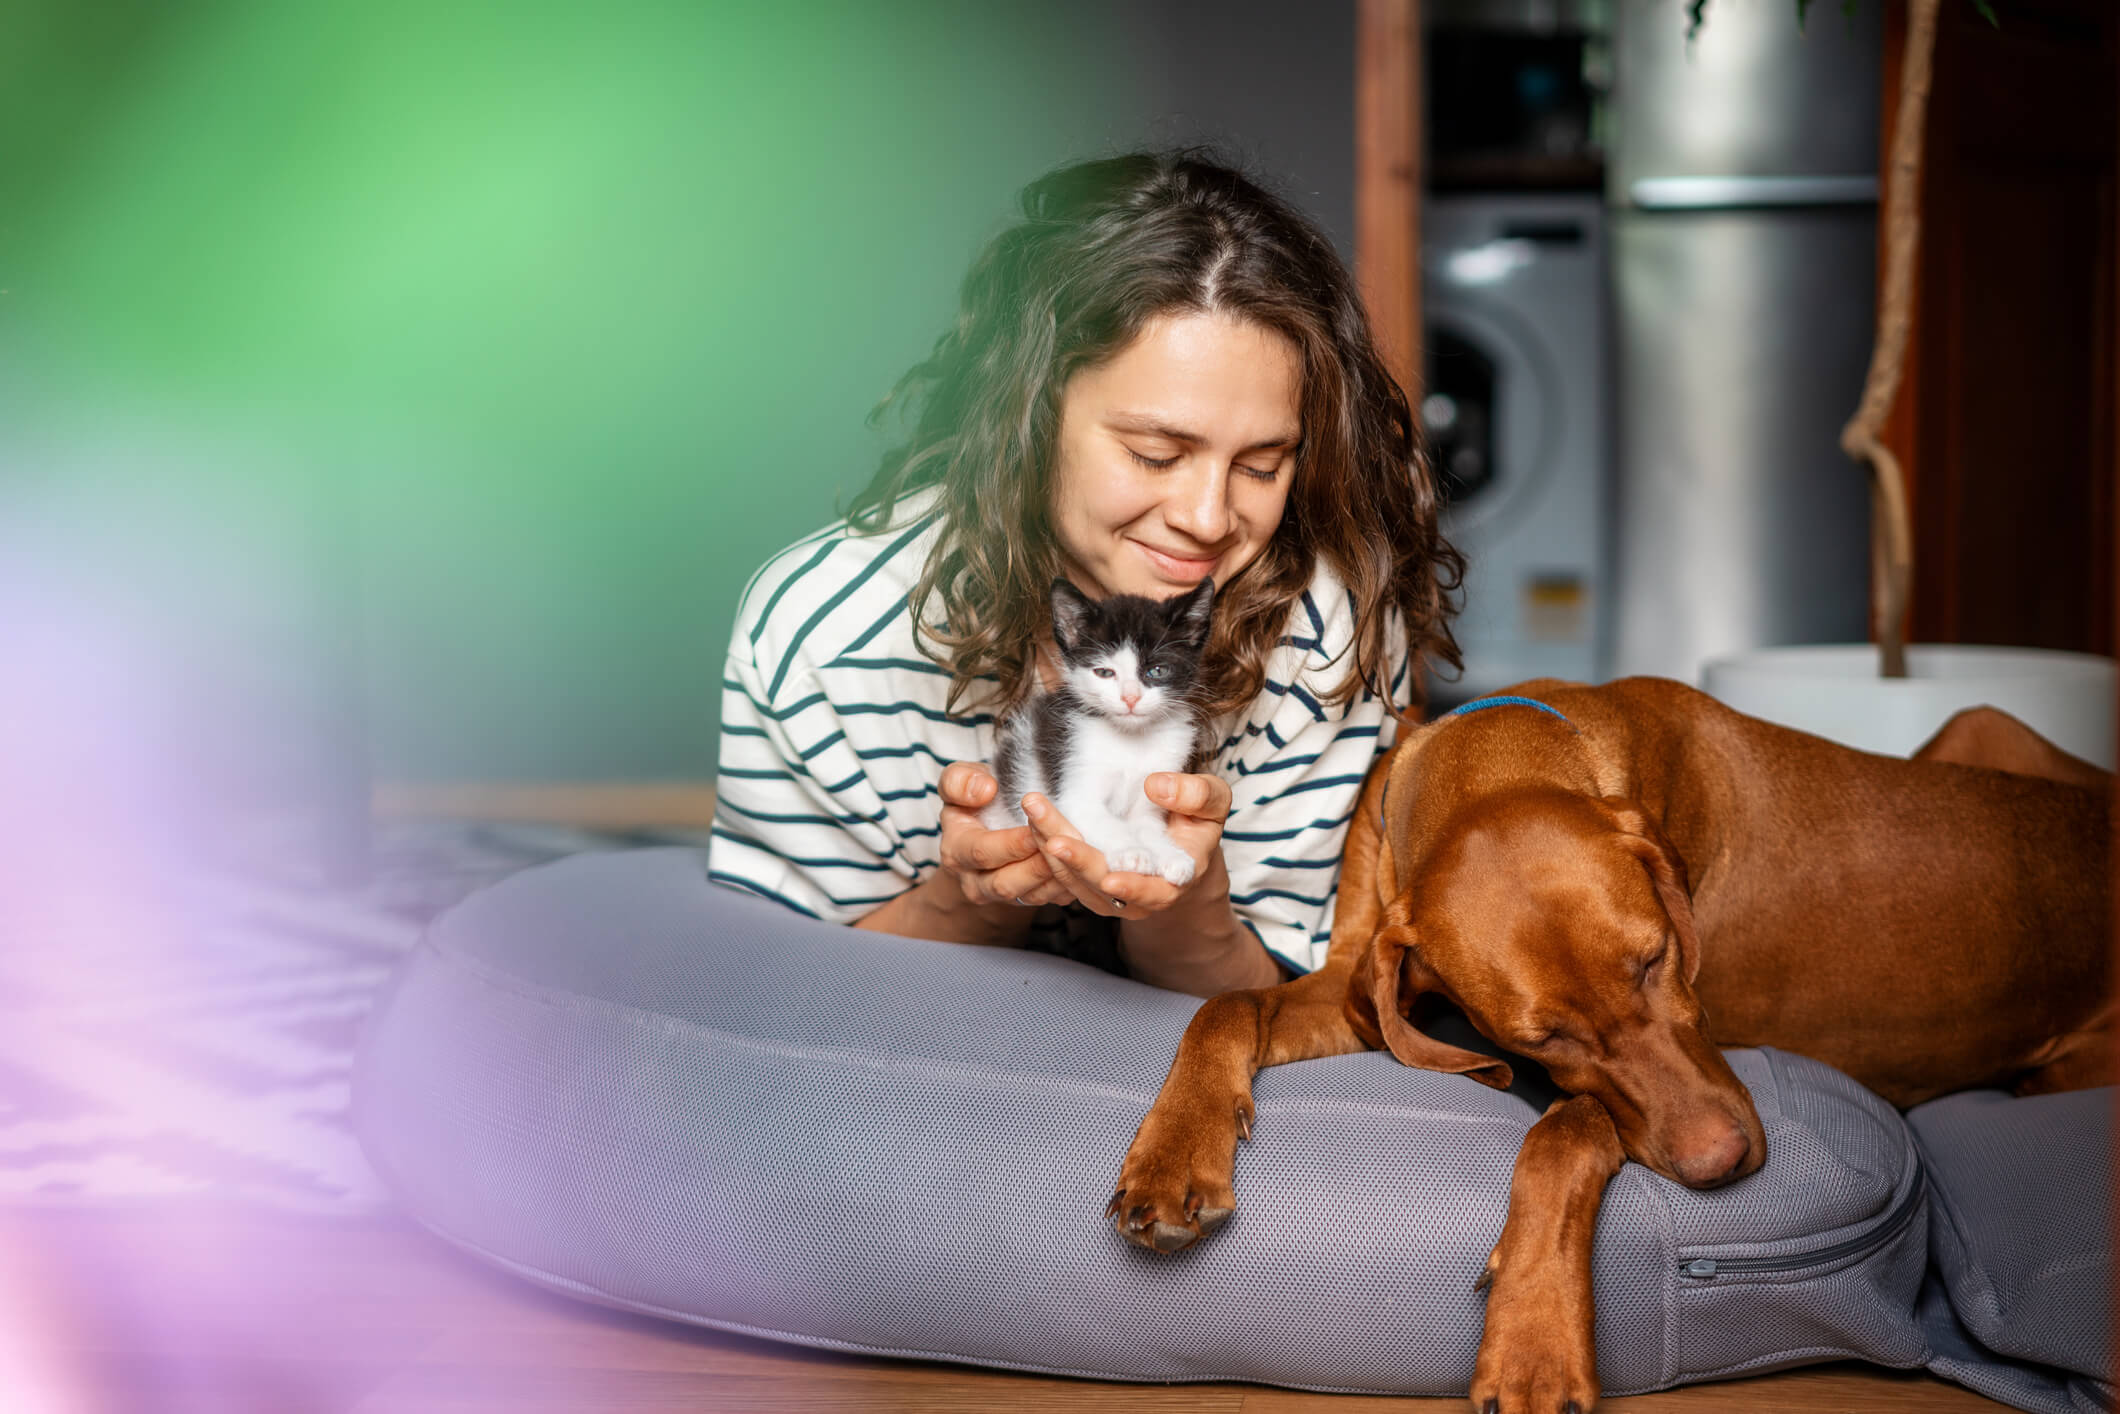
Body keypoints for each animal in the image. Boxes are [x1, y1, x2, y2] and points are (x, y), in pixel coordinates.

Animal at [979, 576, 1221, 886]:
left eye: (1157, 670)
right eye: (1104, 673)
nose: (1130, 698)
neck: (1131, 739)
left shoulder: (1154, 787)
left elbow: (1146, 825)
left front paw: (1169, 855)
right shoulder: (1073, 781)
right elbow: (1103, 820)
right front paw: (1132, 851)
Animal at [1110, 678, 2103, 1414]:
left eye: (1656, 959)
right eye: (1538, 1036)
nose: (1722, 1164)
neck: (1500, 760)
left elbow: (1568, 1128)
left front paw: (1534, 1341)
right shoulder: (1359, 984)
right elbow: (1227, 1006)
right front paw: (1172, 1155)